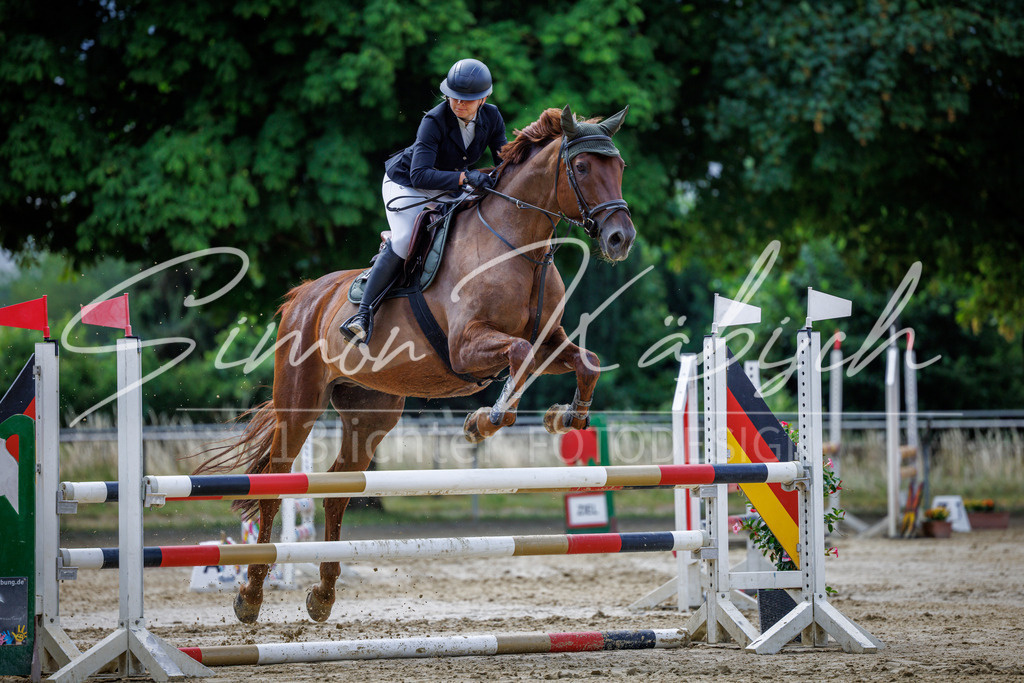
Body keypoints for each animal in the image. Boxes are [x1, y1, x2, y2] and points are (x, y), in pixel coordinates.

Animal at [193, 105, 637, 624]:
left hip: (371, 412)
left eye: (619, 166)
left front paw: (567, 417)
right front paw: (484, 420)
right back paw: (251, 596)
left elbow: (587, 361)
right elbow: (517, 358)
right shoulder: (467, 346)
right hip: (299, 403)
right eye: (582, 167)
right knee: (274, 479)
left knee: (338, 488)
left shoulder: (550, 343)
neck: (517, 246)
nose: (620, 238)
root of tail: (304, 294)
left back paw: (322, 594)